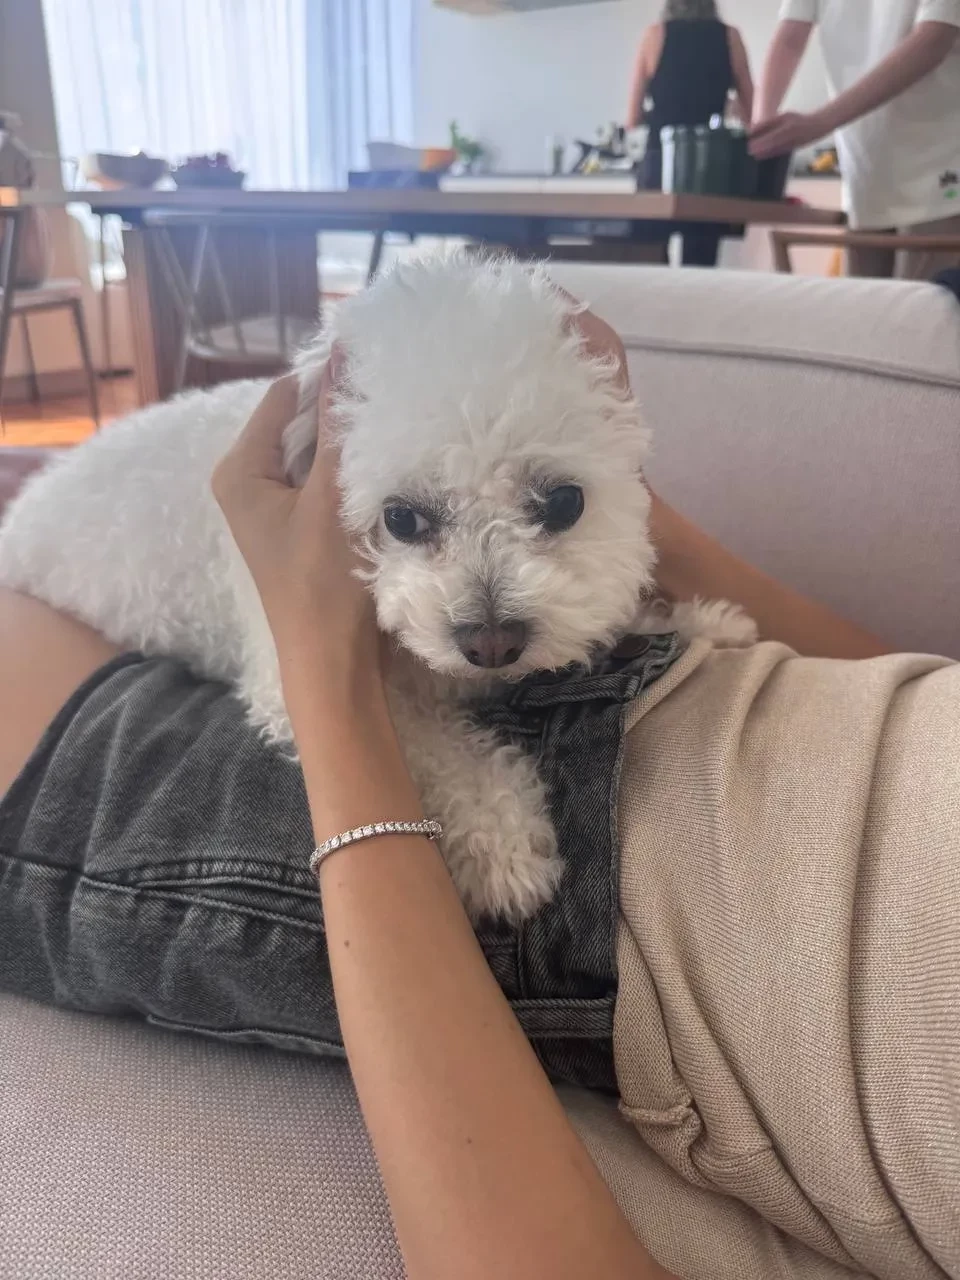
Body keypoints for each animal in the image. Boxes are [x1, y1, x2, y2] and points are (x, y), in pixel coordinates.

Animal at [0, 253, 754, 921]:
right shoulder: (292, 680)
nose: (491, 642)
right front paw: (503, 844)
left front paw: (707, 624)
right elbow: (433, 747)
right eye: (401, 518)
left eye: (565, 503)